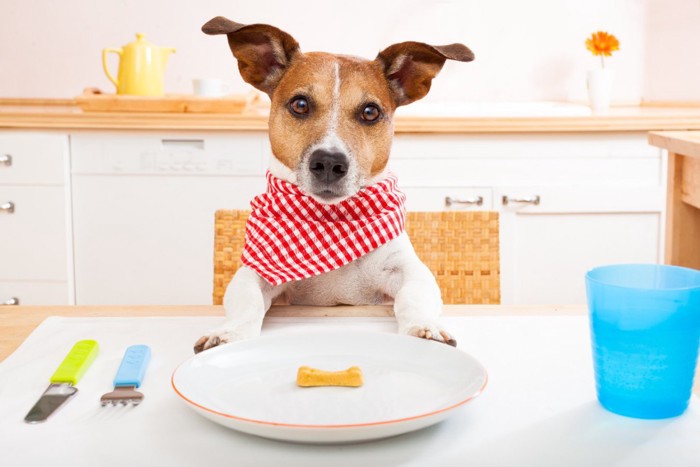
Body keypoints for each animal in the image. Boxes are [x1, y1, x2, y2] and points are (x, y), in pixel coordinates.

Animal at [194, 16, 474, 354]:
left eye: (370, 112)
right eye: (300, 104)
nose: (329, 162)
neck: (332, 221)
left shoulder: (406, 269)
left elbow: (414, 295)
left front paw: (424, 327)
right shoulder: (259, 272)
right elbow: (246, 298)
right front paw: (229, 333)